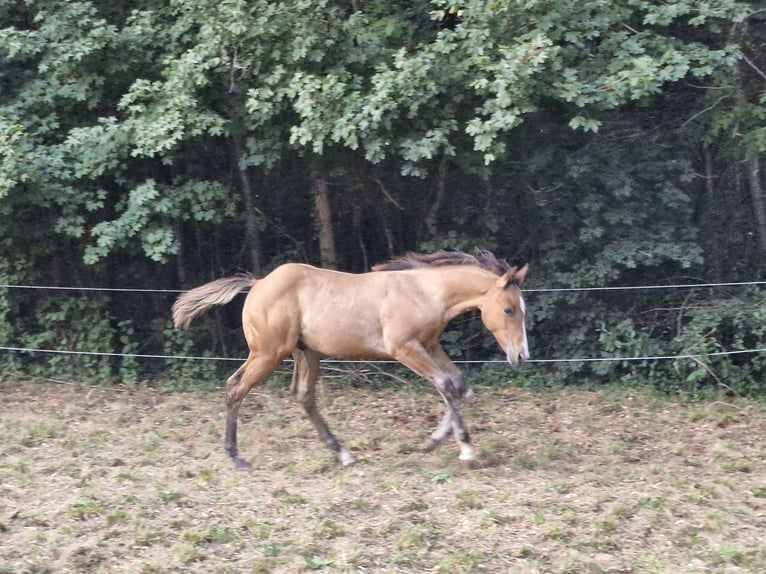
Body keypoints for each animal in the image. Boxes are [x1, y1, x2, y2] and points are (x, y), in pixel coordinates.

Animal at [172, 250, 528, 470]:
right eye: (509, 309)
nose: (521, 356)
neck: (424, 292)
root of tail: (257, 283)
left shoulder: (430, 344)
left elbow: (457, 385)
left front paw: (439, 441)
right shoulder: (404, 348)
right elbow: (446, 385)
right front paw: (463, 449)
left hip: (307, 352)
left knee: (303, 396)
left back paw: (343, 454)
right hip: (269, 353)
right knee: (236, 388)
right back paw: (236, 457)